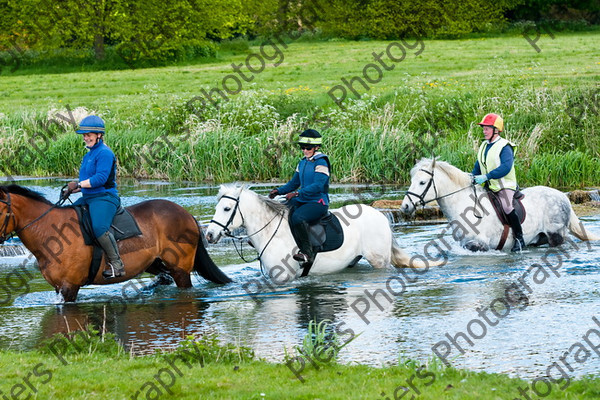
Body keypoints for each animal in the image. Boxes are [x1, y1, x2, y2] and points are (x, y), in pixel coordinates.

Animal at [0, 186, 232, 302]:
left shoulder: (69, 287)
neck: (51, 231)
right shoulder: (60, 288)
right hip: (154, 262)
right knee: (164, 277)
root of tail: (186, 214)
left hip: (181, 269)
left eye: (0, 210)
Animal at [205, 185, 436, 282]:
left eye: (226, 208)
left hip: (379, 261)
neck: (272, 232)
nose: (209, 235)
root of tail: (381, 216)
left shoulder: (284, 278)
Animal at [400, 159, 596, 250]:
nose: (405, 207)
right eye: (412, 180)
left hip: (555, 236)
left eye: (422, 182)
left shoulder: (480, 244)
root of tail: (563, 197)